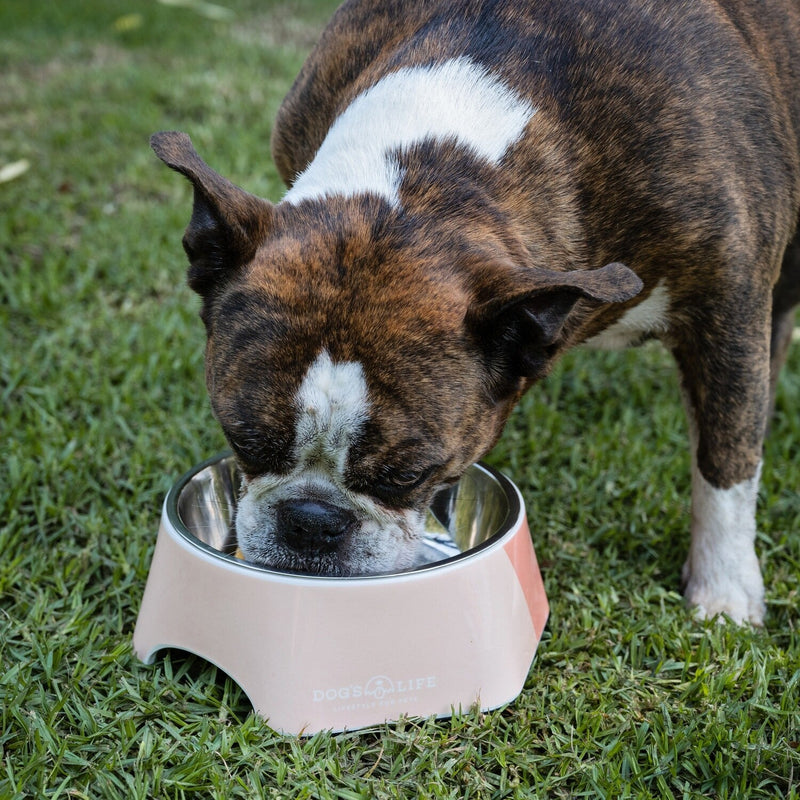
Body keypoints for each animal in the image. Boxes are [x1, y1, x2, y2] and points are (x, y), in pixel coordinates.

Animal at [152, 0, 800, 624]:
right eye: (245, 441)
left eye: (405, 475)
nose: (312, 521)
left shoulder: (728, 308)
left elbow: (725, 459)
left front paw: (725, 591)